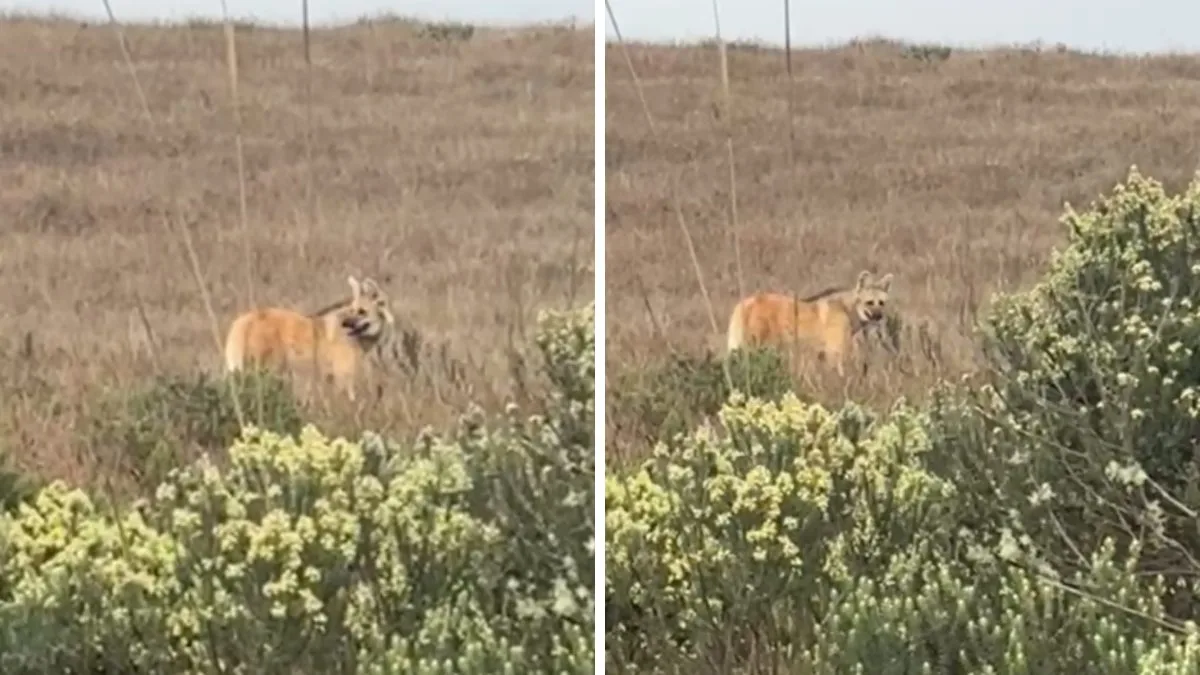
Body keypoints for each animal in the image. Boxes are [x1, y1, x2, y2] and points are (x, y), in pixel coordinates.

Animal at [223, 275, 395, 401]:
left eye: (361, 312)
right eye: (354, 310)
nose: (345, 324)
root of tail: (245, 321)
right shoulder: (343, 376)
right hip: (269, 370)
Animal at [725, 270, 894, 376]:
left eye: (881, 303)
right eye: (870, 302)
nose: (878, 316)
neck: (847, 308)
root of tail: (746, 302)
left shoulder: (822, 355)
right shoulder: (834, 351)